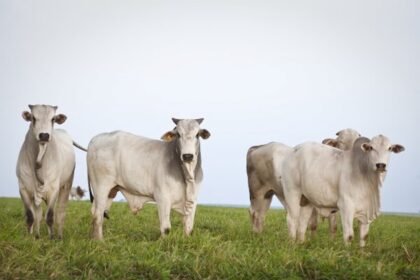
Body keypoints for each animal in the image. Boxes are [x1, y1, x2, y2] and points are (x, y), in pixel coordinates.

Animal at [15, 104, 86, 240]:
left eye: (53, 119)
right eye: (33, 118)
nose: (44, 135)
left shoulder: (54, 189)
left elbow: (50, 216)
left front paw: (52, 237)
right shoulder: (23, 188)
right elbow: (31, 216)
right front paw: (30, 237)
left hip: (66, 185)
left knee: (61, 212)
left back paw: (59, 236)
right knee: (38, 214)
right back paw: (37, 234)